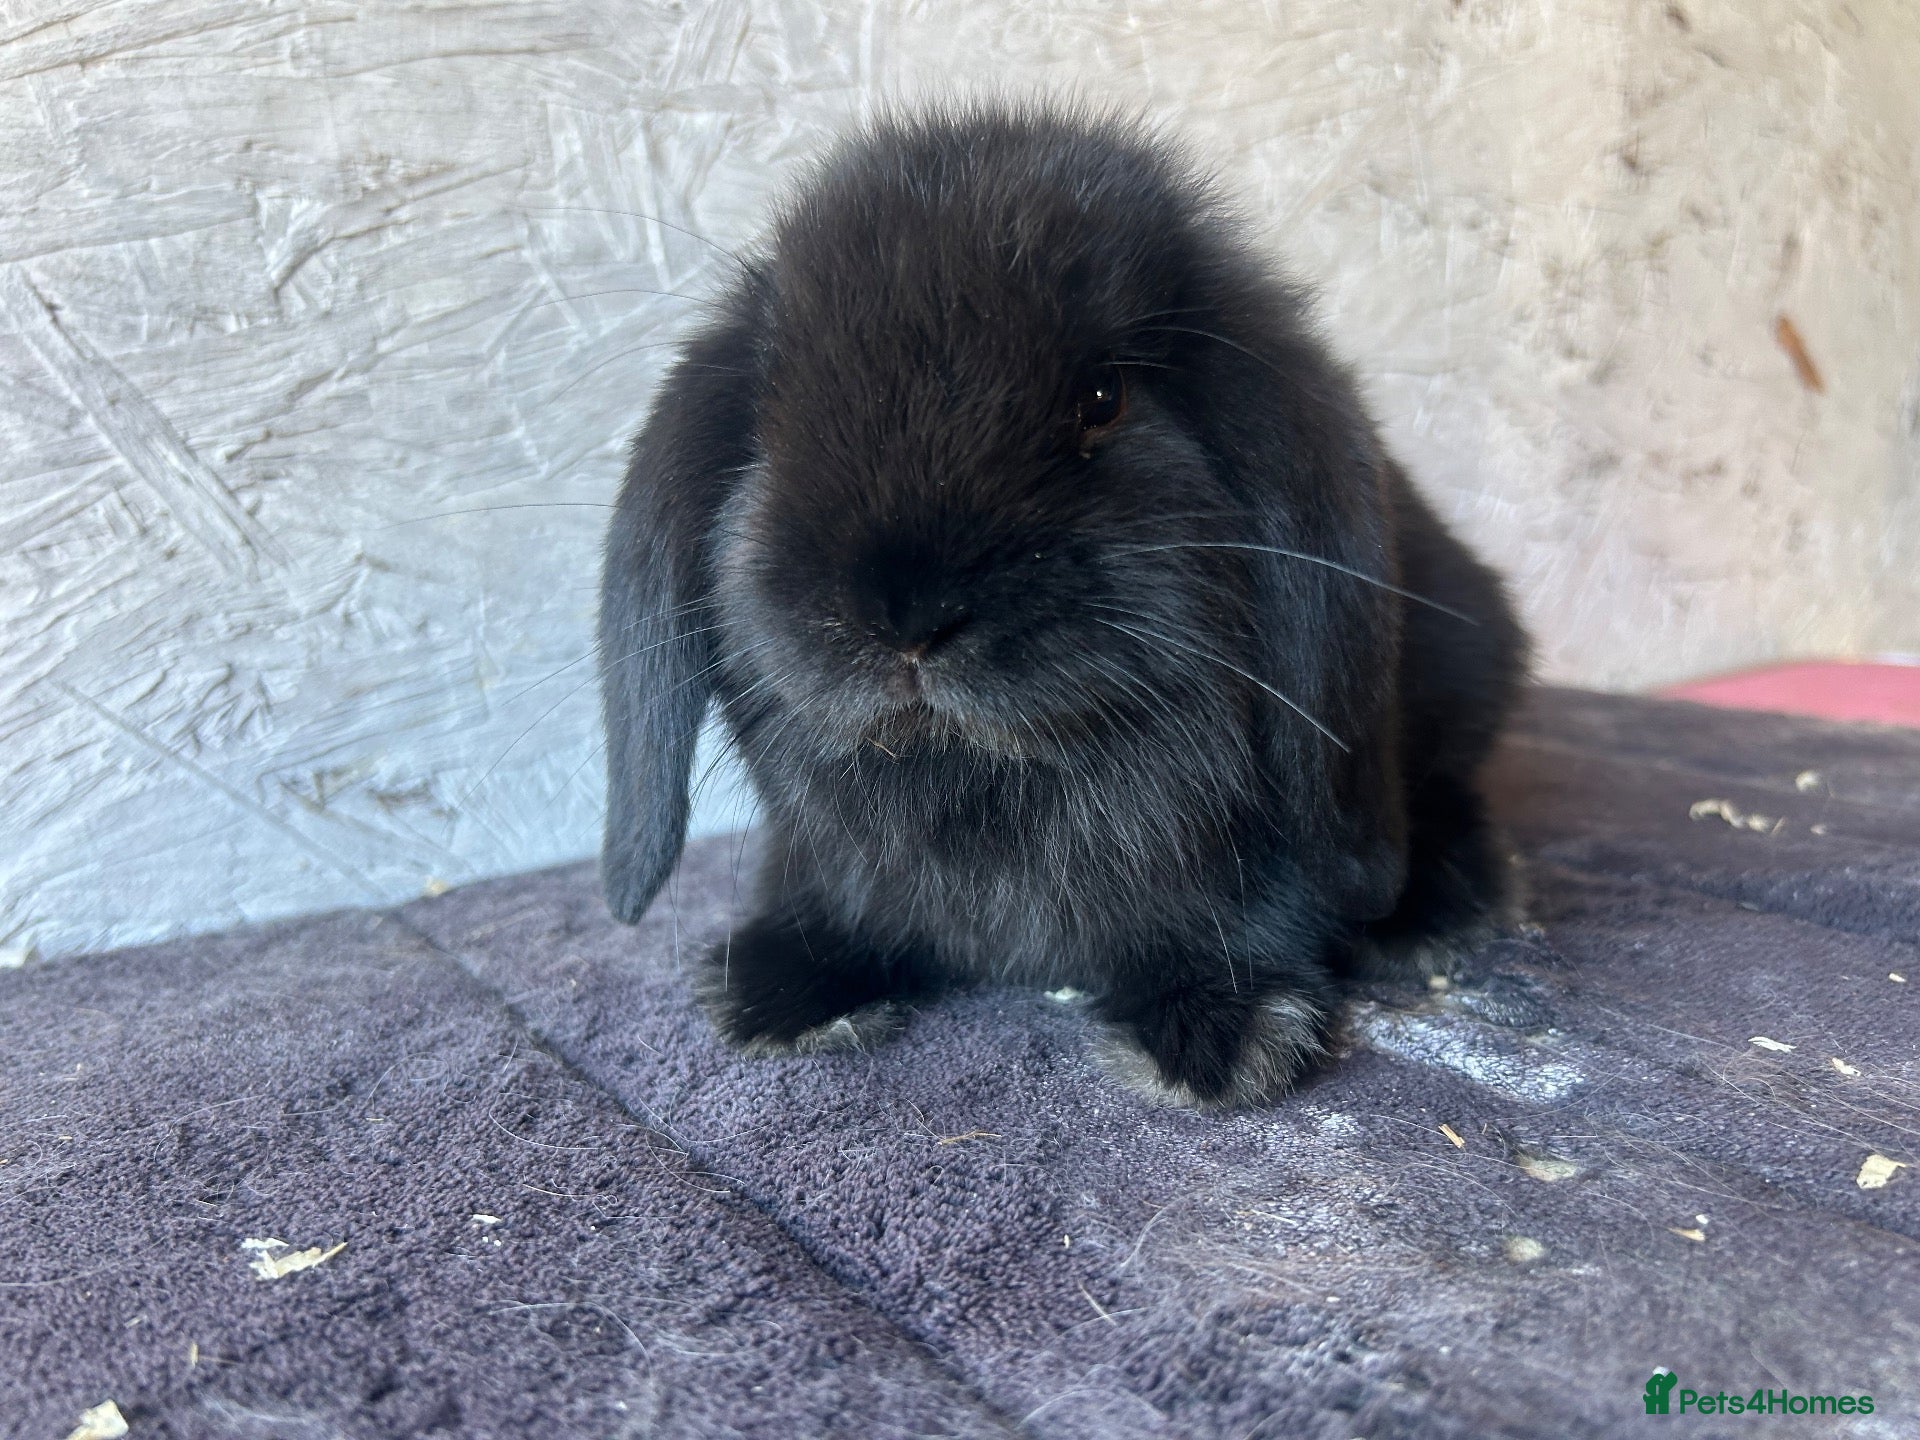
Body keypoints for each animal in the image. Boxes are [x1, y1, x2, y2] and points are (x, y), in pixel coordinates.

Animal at [597, 101, 1527, 1109]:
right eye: (770, 419)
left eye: (1103, 396)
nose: (904, 615)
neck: (989, 781)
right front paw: (776, 991)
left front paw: (1222, 1032)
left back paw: (1434, 913)